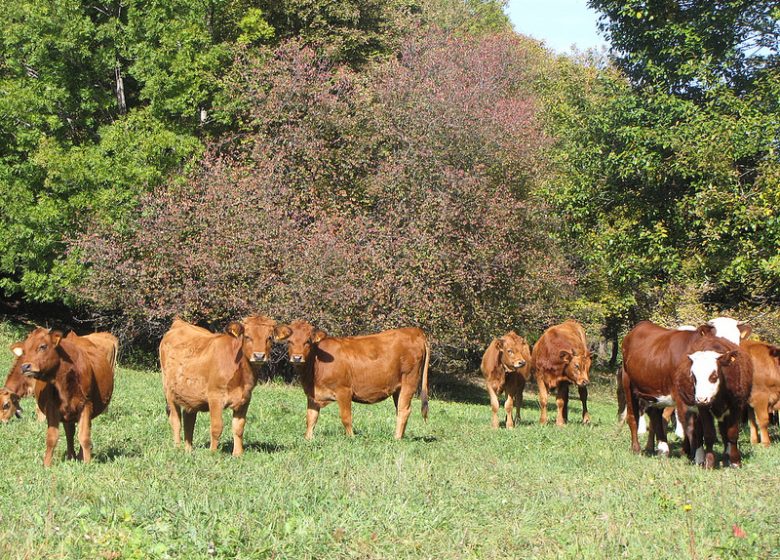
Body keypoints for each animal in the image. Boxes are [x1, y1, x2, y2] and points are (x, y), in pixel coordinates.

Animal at [10, 326, 117, 466]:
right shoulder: (52, 407)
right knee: (69, 433)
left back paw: (80, 456)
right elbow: (52, 438)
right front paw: (46, 465)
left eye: (43, 346)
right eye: (24, 350)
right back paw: (71, 456)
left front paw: (87, 464)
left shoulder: (86, 405)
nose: (25, 366)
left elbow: (84, 437)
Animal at [158, 316, 280, 456]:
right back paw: (177, 449)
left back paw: (188, 450)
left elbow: (239, 427)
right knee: (176, 420)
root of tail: (180, 323)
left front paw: (238, 454)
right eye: (247, 336)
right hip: (169, 392)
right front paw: (213, 453)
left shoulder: (245, 399)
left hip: (190, 395)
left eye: (269, 337)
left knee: (189, 420)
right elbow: (217, 427)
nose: (259, 356)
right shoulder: (215, 397)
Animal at [274, 322, 432, 440]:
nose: (297, 358)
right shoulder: (313, 395)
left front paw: (351, 438)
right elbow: (311, 418)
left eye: (307, 341)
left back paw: (396, 439)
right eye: (289, 341)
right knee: (399, 410)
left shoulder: (344, 391)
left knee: (404, 410)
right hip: (398, 389)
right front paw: (308, 439)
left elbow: (346, 417)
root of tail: (415, 331)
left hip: (409, 382)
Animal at [620, 318, 752, 458]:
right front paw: (696, 455)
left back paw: (662, 449)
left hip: (655, 390)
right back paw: (636, 448)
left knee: (656, 416)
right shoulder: (684, 398)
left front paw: (687, 451)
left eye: (736, 340)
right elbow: (692, 427)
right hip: (627, 384)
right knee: (632, 417)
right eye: (716, 337)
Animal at [676, 336, 756, 468]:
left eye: (713, 376)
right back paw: (699, 458)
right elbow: (708, 435)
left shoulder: (736, 406)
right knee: (697, 432)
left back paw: (726, 456)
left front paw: (735, 461)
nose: (701, 398)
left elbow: (732, 434)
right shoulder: (703, 408)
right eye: (693, 376)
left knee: (723, 432)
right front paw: (709, 463)